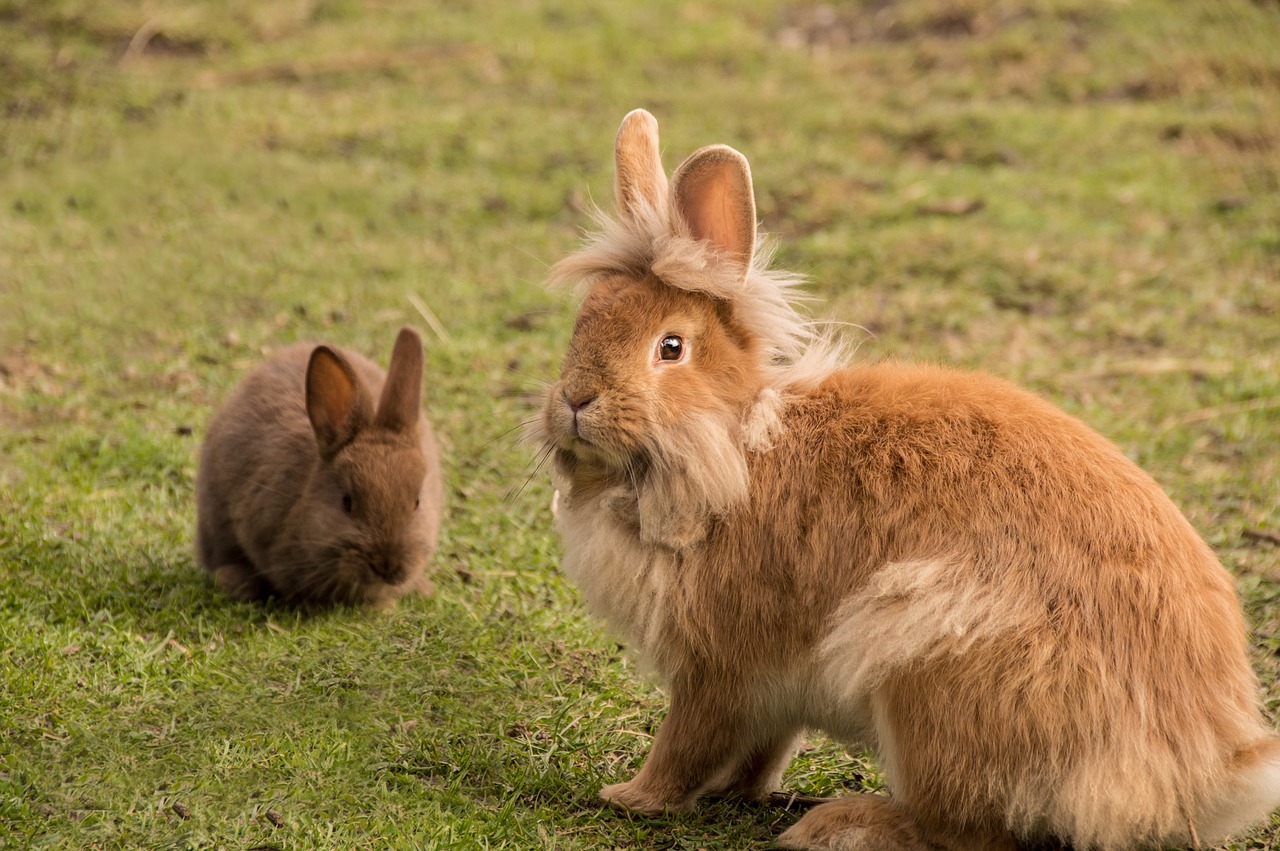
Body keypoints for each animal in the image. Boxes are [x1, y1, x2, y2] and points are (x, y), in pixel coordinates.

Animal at [532, 108, 1280, 849]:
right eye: (583, 322)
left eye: (671, 347)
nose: (575, 400)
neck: (735, 443)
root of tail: (1197, 775)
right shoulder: (771, 692)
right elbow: (762, 748)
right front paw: (732, 791)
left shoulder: (717, 668)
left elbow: (688, 742)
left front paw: (632, 797)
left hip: (927, 667)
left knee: (961, 830)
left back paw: (841, 824)